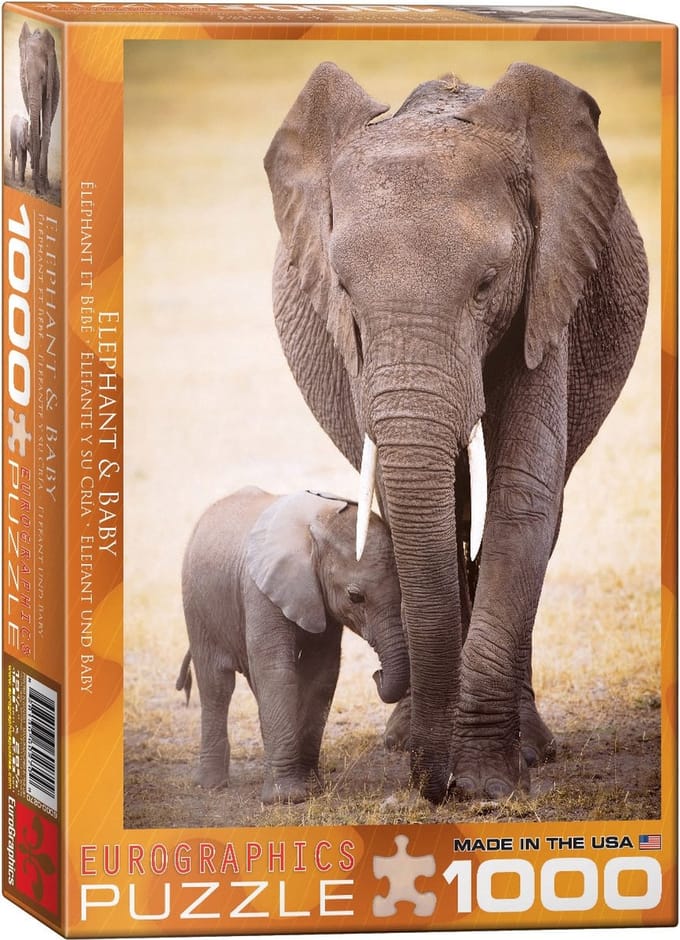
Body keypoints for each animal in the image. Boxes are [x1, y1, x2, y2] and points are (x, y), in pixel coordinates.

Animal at [176, 486, 408, 804]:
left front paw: (311, 787)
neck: (317, 525)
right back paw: (211, 784)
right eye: (355, 596)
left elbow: (322, 673)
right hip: (196, 605)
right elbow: (276, 671)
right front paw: (286, 799)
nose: (378, 674)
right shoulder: (260, 590)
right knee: (216, 685)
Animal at [264, 62, 648, 803]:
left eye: (488, 283)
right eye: (344, 289)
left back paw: (530, 748)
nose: (431, 787)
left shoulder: (547, 291)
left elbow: (522, 497)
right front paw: (443, 762)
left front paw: (487, 784)